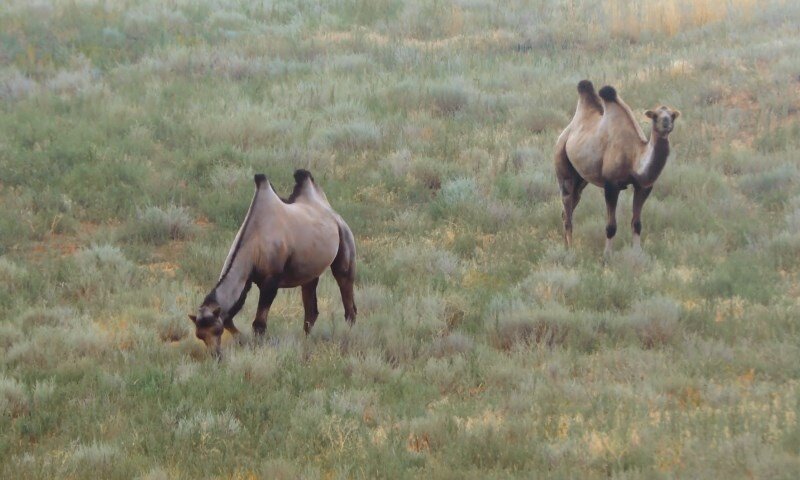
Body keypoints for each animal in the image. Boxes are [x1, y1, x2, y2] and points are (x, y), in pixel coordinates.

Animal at [556, 80, 680, 255]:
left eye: (672, 116)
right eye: (655, 116)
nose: (666, 123)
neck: (634, 157)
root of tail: (564, 134)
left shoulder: (643, 186)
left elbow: (637, 223)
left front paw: (638, 255)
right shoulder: (611, 185)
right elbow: (611, 226)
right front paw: (607, 256)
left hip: (581, 179)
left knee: (568, 209)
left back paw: (566, 246)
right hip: (563, 168)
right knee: (567, 212)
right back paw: (570, 251)